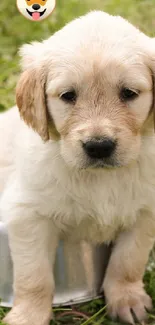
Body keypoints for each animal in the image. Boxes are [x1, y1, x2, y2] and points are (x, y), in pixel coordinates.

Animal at [0, 10, 155, 324]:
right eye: (68, 96)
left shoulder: (146, 211)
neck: (100, 178)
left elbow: (128, 260)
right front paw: (28, 316)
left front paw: (127, 299)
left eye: (129, 93)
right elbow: (34, 276)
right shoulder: (27, 214)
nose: (99, 146)